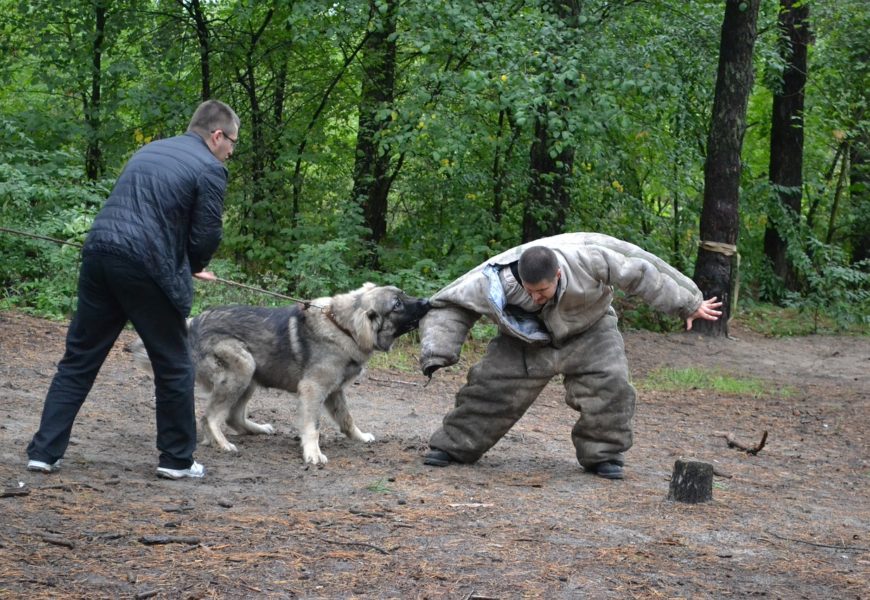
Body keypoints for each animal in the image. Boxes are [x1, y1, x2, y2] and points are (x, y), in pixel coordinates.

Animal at [131, 284, 430, 466]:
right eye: (397, 304)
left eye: (403, 294)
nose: (427, 301)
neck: (342, 327)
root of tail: (193, 324)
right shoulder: (313, 389)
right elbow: (313, 426)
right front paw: (313, 453)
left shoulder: (335, 391)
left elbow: (347, 419)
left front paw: (359, 436)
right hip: (243, 367)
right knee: (211, 416)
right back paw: (222, 442)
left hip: (252, 375)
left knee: (233, 416)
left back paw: (257, 429)